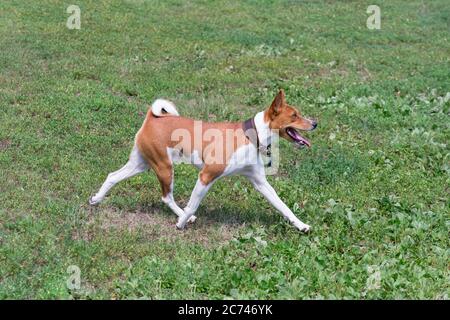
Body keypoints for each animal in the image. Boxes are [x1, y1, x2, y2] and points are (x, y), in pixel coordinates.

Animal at [89, 90, 316, 232]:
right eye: (294, 115)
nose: (315, 123)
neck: (251, 135)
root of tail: (151, 118)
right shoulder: (206, 176)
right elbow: (192, 205)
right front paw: (181, 224)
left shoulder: (260, 182)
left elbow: (284, 207)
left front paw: (301, 225)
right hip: (164, 167)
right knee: (166, 197)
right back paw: (184, 217)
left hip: (140, 164)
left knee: (112, 176)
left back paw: (96, 199)